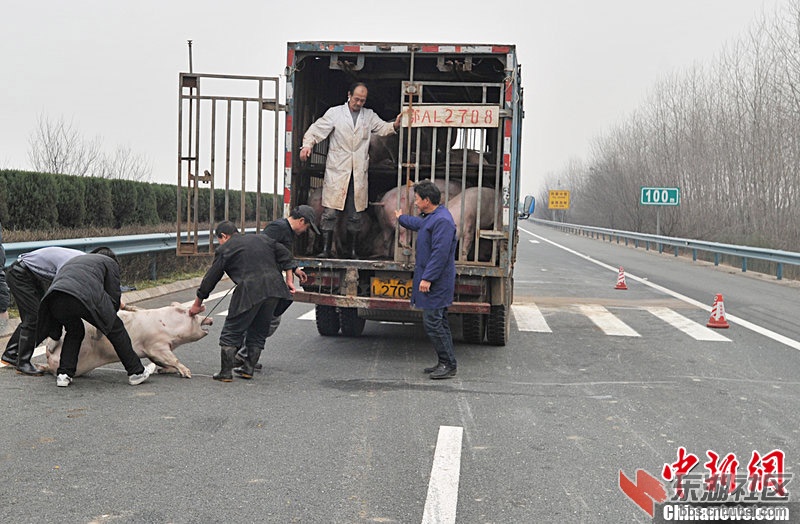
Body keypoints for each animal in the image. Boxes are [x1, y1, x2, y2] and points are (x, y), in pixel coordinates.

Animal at [40, 300, 212, 378]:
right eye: (195, 316)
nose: (210, 319)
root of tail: (49, 355)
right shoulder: (157, 345)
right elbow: (173, 359)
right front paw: (187, 374)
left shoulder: (153, 351)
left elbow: (162, 362)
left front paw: (162, 370)